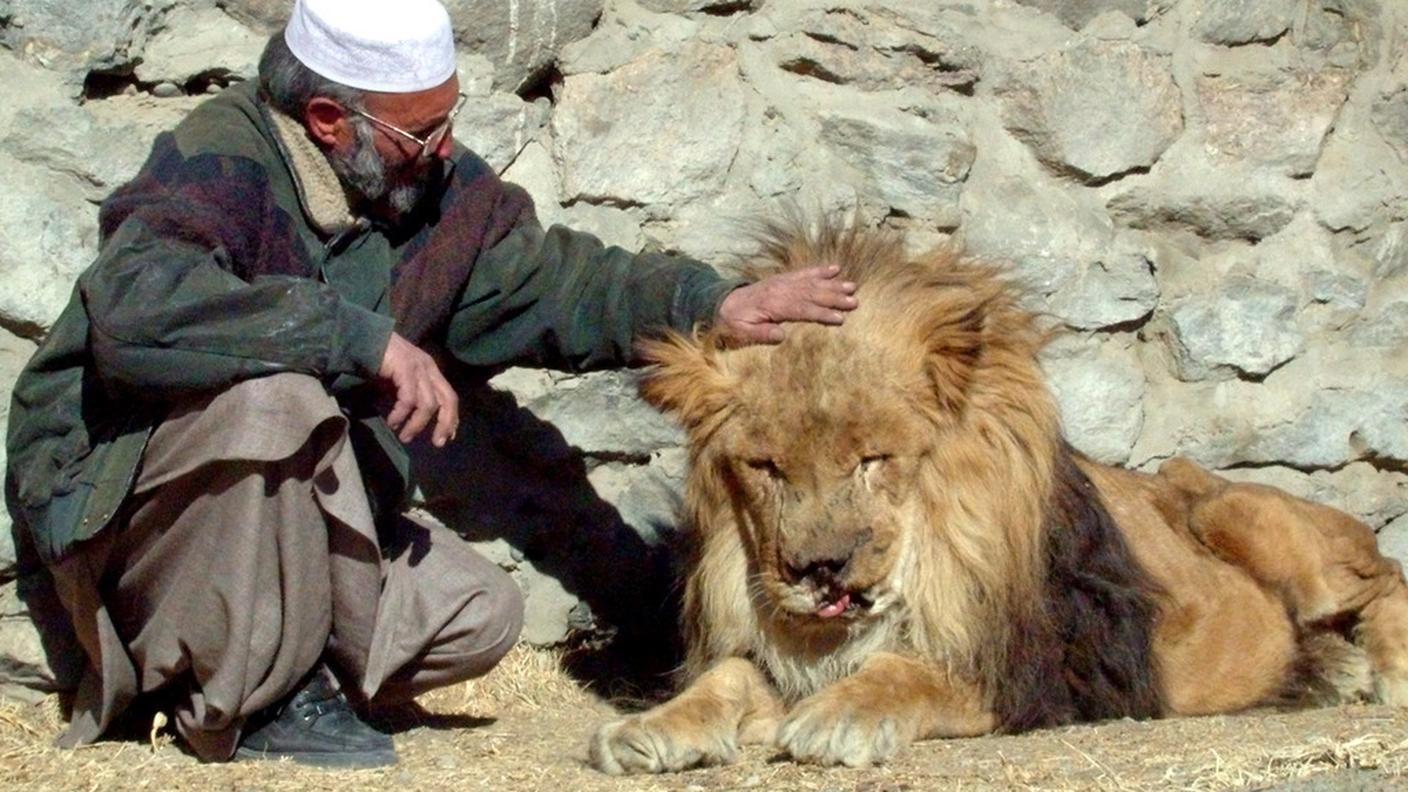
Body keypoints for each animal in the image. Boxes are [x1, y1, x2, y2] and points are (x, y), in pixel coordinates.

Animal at [588, 217, 1408, 773]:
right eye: (766, 467)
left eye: (873, 460)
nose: (818, 570)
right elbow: (726, 677)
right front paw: (646, 728)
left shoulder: (1036, 675)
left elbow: (911, 672)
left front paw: (837, 717)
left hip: (1228, 508)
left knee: (1386, 575)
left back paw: (1389, 669)